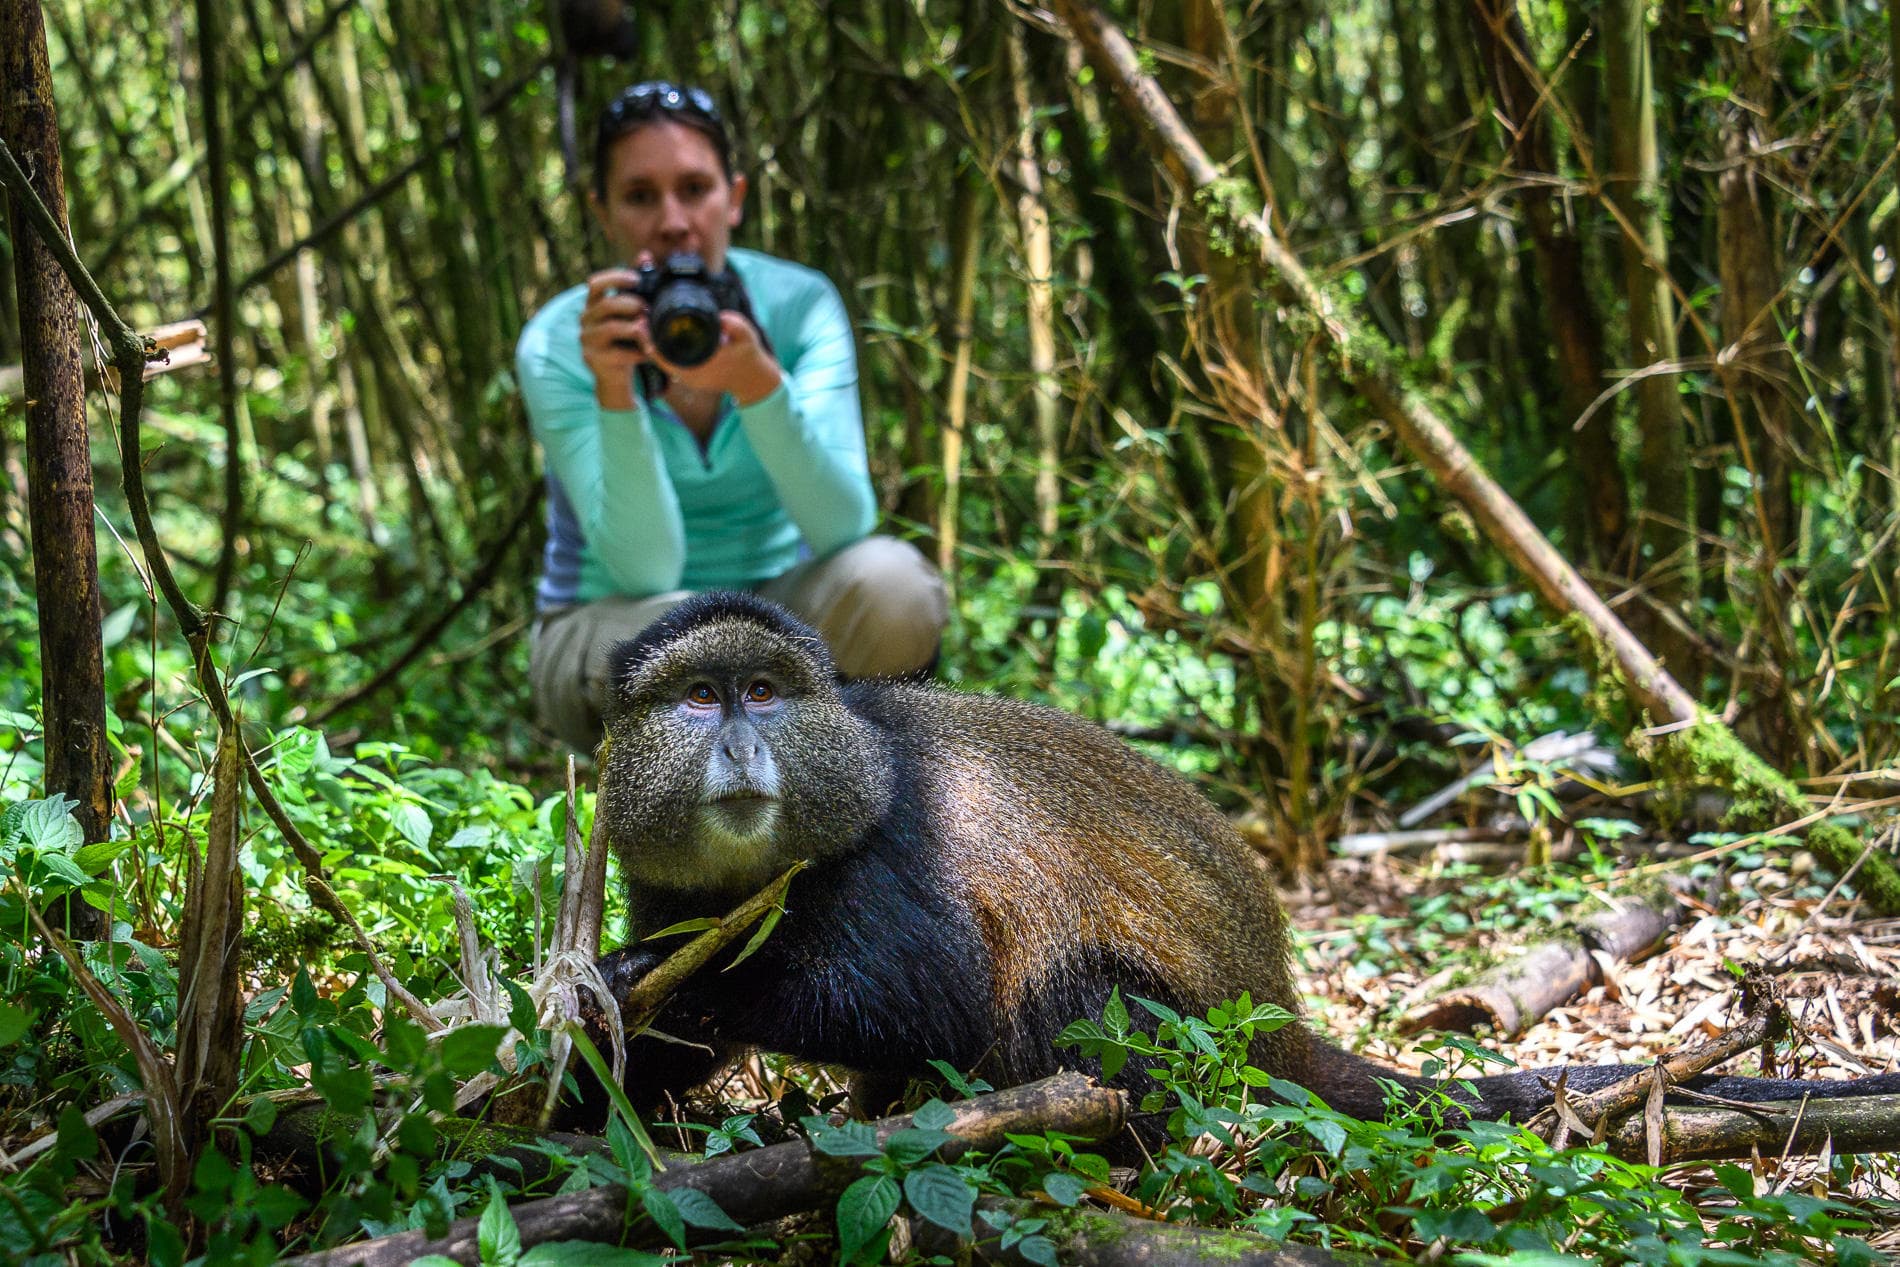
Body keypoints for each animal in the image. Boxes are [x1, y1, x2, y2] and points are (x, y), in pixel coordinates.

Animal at [587, 590, 1900, 1135]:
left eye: (765, 691)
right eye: (697, 698)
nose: (741, 738)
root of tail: (1277, 1019)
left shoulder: (897, 840)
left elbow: (928, 998)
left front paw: (667, 987)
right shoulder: (665, 874)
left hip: (1167, 1026)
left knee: (1071, 996)